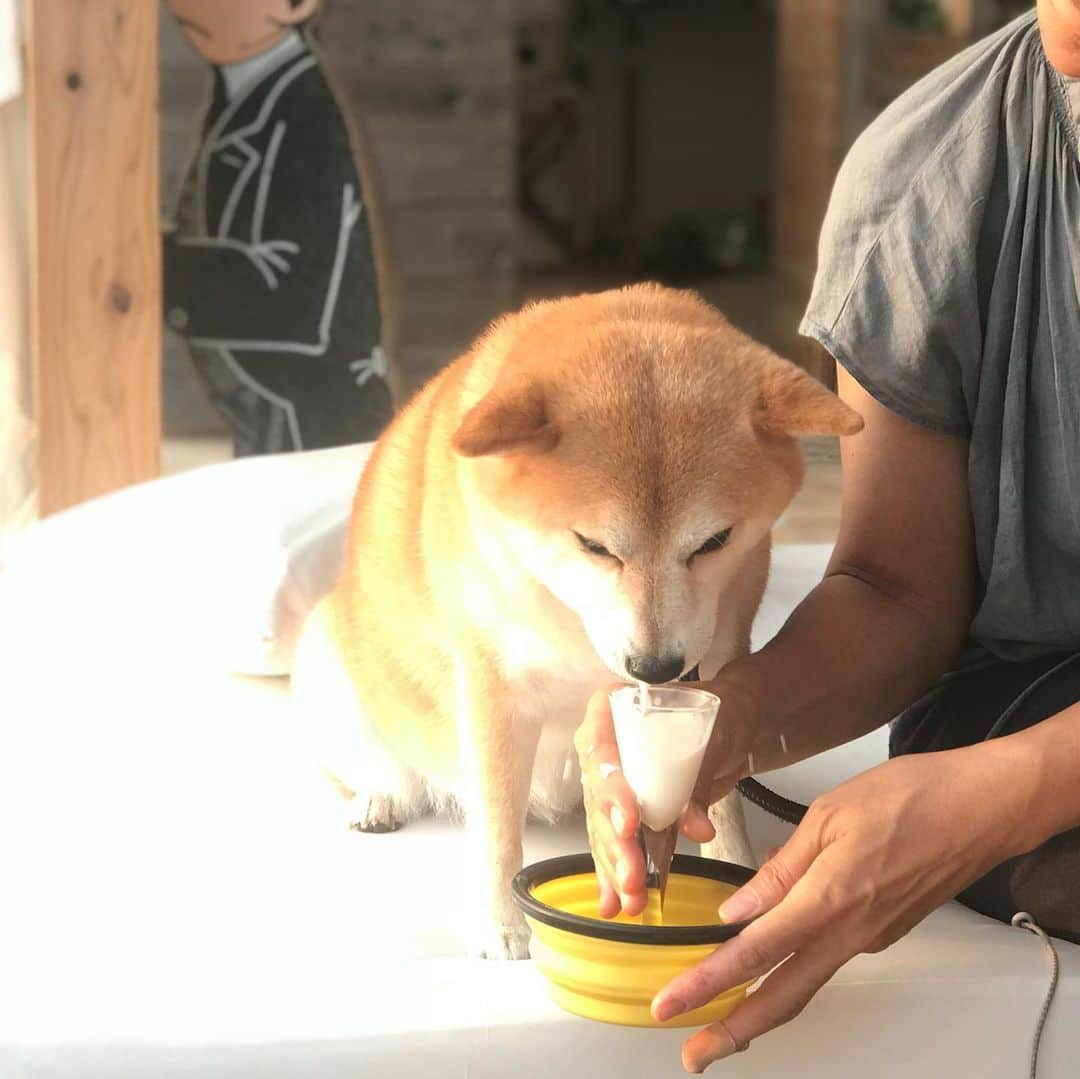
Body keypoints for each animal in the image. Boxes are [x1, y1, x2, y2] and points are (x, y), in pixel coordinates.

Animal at [291, 282, 864, 959]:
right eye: (593, 545)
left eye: (715, 542)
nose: (656, 667)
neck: (570, 617)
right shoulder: (493, 686)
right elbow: (496, 823)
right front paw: (501, 925)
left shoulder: (721, 659)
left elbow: (723, 800)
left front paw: (736, 874)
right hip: (326, 660)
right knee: (381, 764)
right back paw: (377, 795)